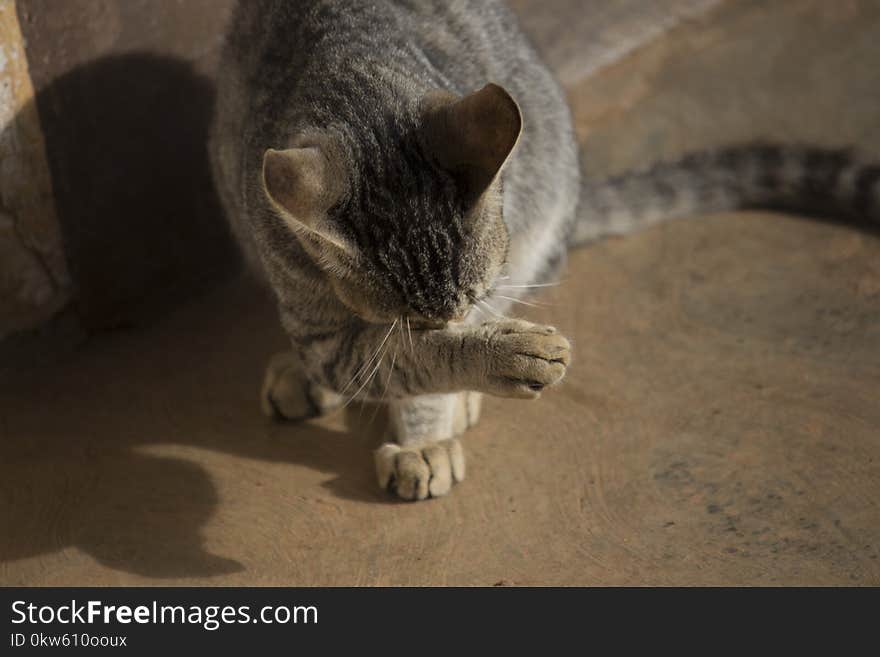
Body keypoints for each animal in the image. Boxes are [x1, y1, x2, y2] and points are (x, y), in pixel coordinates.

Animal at [210, 0, 876, 498]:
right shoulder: (325, 328)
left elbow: (418, 368)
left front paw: (432, 428)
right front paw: (487, 363)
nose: (457, 323)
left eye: (468, 298)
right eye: (417, 320)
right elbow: (402, 360)